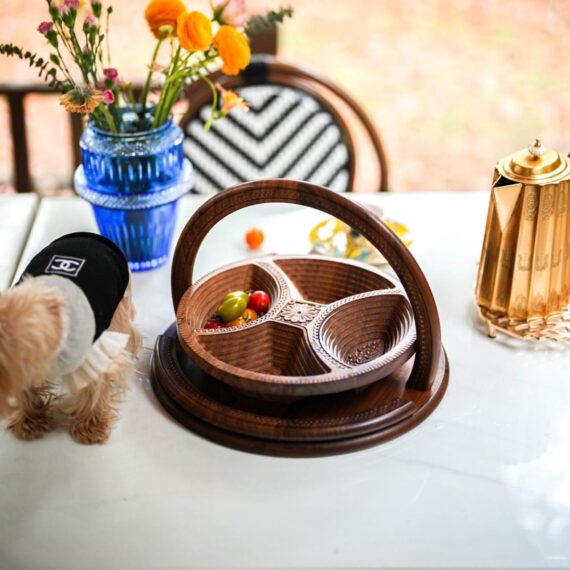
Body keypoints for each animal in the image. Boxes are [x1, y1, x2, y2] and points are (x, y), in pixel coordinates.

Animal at [0, 232, 139, 444]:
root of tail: (89, 235)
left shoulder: (94, 353)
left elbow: (94, 387)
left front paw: (90, 426)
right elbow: (26, 389)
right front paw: (31, 420)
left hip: (120, 307)